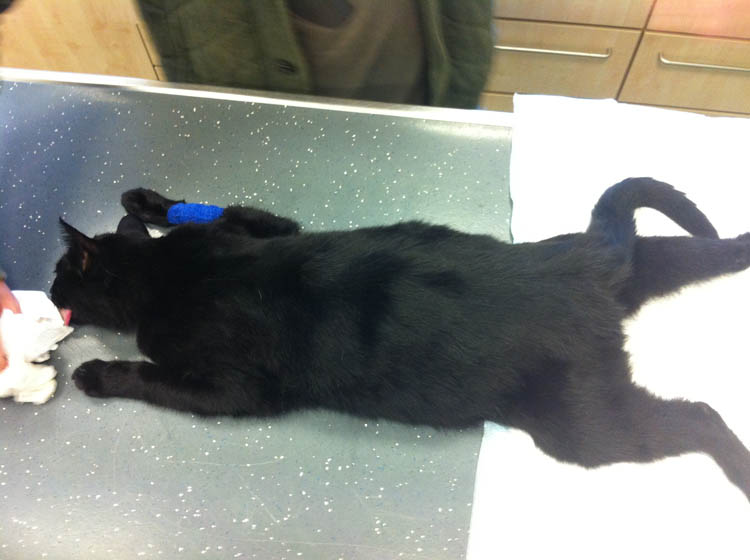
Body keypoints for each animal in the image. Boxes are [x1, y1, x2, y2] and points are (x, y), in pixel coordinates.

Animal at [50, 177, 750, 500]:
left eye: (59, 277)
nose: (52, 295)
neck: (163, 271)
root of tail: (588, 269)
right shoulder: (265, 227)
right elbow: (225, 210)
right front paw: (145, 201)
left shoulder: (237, 387)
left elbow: (153, 376)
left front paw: (97, 374)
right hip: (654, 259)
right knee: (715, 253)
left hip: (583, 427)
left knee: (702, 414)